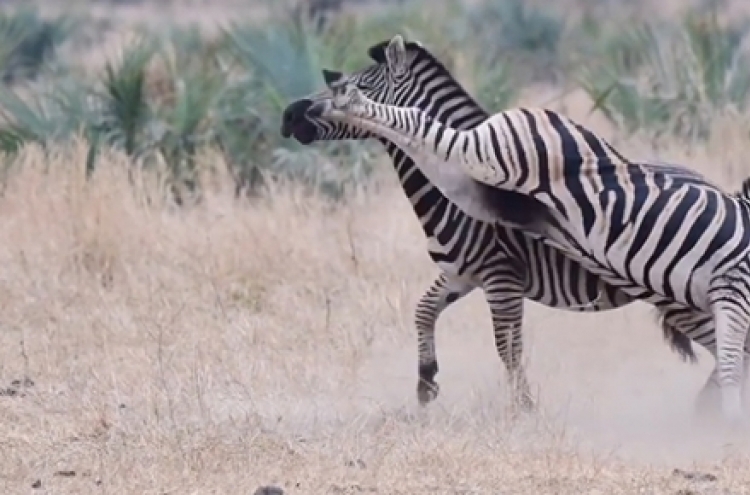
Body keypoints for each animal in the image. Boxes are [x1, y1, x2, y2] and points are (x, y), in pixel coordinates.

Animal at [302, 35, 750, 422]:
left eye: (362, 81)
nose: (293, 115)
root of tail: (713, 185)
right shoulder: (461, 274)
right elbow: (424, 310)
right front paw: (426, 382)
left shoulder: (500, 275)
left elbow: (508, 348)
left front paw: (522, 409)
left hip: (679, 293)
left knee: (729, 346)